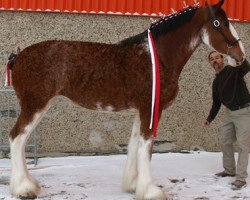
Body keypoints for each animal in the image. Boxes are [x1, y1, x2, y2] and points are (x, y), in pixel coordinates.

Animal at [8, 0, 244, 199]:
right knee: (16, 138)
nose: (240, 56)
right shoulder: (150, 110)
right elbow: (146, 147)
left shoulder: (141, 111)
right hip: (34, 105)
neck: (157, 57)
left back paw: (29, 184)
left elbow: (135, 145)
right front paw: (150, 191)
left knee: (21, 140)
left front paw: (133, 185)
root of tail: (18, 57)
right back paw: (23, 188)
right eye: (220, 23)